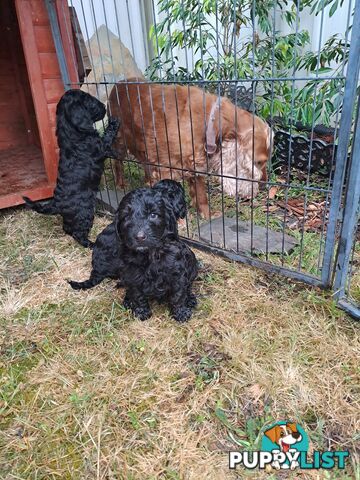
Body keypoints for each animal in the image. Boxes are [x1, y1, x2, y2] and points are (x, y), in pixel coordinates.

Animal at [23, 88, 119, 249]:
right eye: (89, 100)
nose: (104, 108)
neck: (71, 131)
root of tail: (56, 203)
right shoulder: (100, 148)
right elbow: (107, 138)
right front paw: (114, 123)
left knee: (67, 228)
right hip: (84, 212)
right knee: (78, 233)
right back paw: (91, 244)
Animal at [108, 80, 272, 218]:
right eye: (259, 162)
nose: (264, 184)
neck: (211, 122)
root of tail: (118, 84)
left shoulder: (195, 165)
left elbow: (200, 194)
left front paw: (207, 215)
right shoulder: (166, 167)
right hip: (120, 141)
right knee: (117, 162)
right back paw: (120, 184)